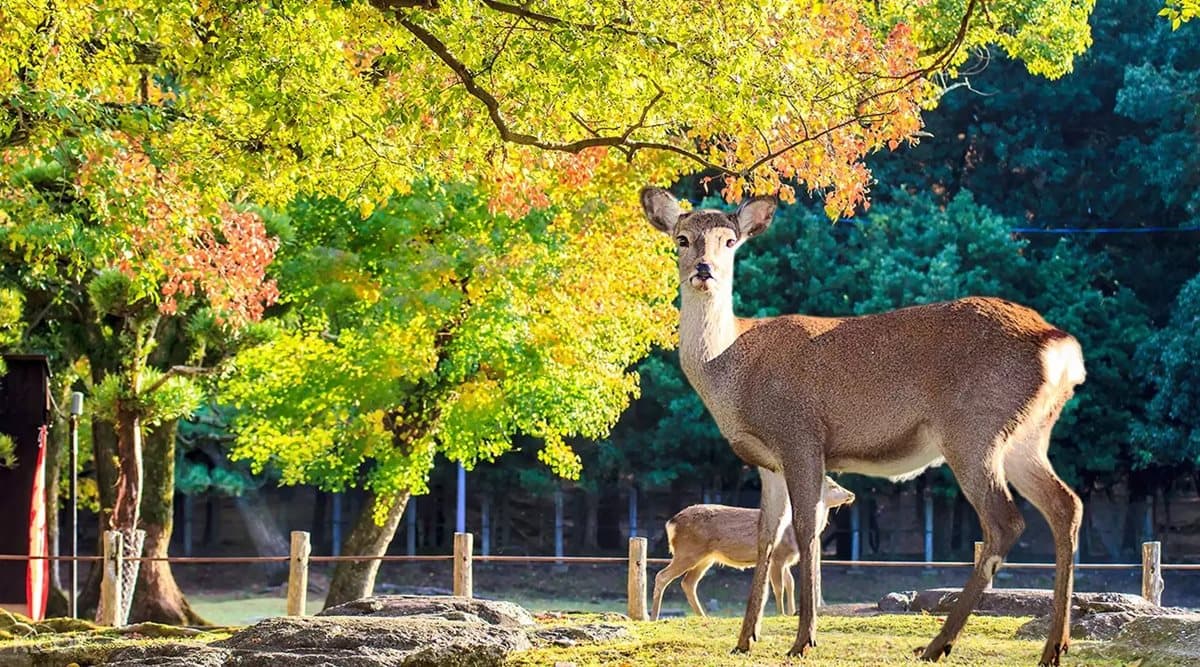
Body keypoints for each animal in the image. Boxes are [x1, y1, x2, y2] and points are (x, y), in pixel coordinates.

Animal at [650, 475, 855, 621]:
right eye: (833, 486)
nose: (851, 494)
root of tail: (671, 523)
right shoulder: (778, 556)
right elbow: (778, 586)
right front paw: (780, 613)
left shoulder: (786, 560)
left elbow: (790, 583)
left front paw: (791, 612)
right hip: (688, 551)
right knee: (662, 576)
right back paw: (653, 617)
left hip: (706, 557)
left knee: (688, 582)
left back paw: (703, 616)